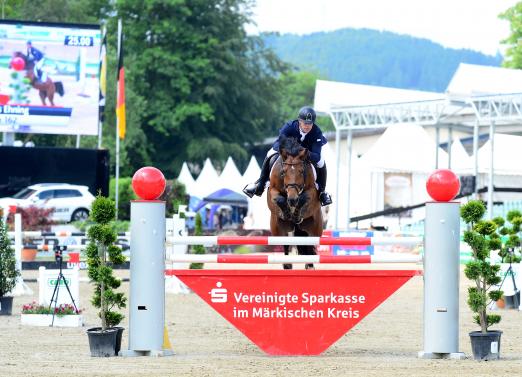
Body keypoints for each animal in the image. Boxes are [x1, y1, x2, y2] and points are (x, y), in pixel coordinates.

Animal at [266, 135, 322, 268]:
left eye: (301, 171)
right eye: (283, 172)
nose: (292, 199)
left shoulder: (311, 190)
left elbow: (303, 198)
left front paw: (296, 215)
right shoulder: (272, 190)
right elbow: (279, 198)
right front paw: (287, 213)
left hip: (314, 229)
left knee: (310, 248)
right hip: (280, 230)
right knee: (287, 248)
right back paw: (288, 265)